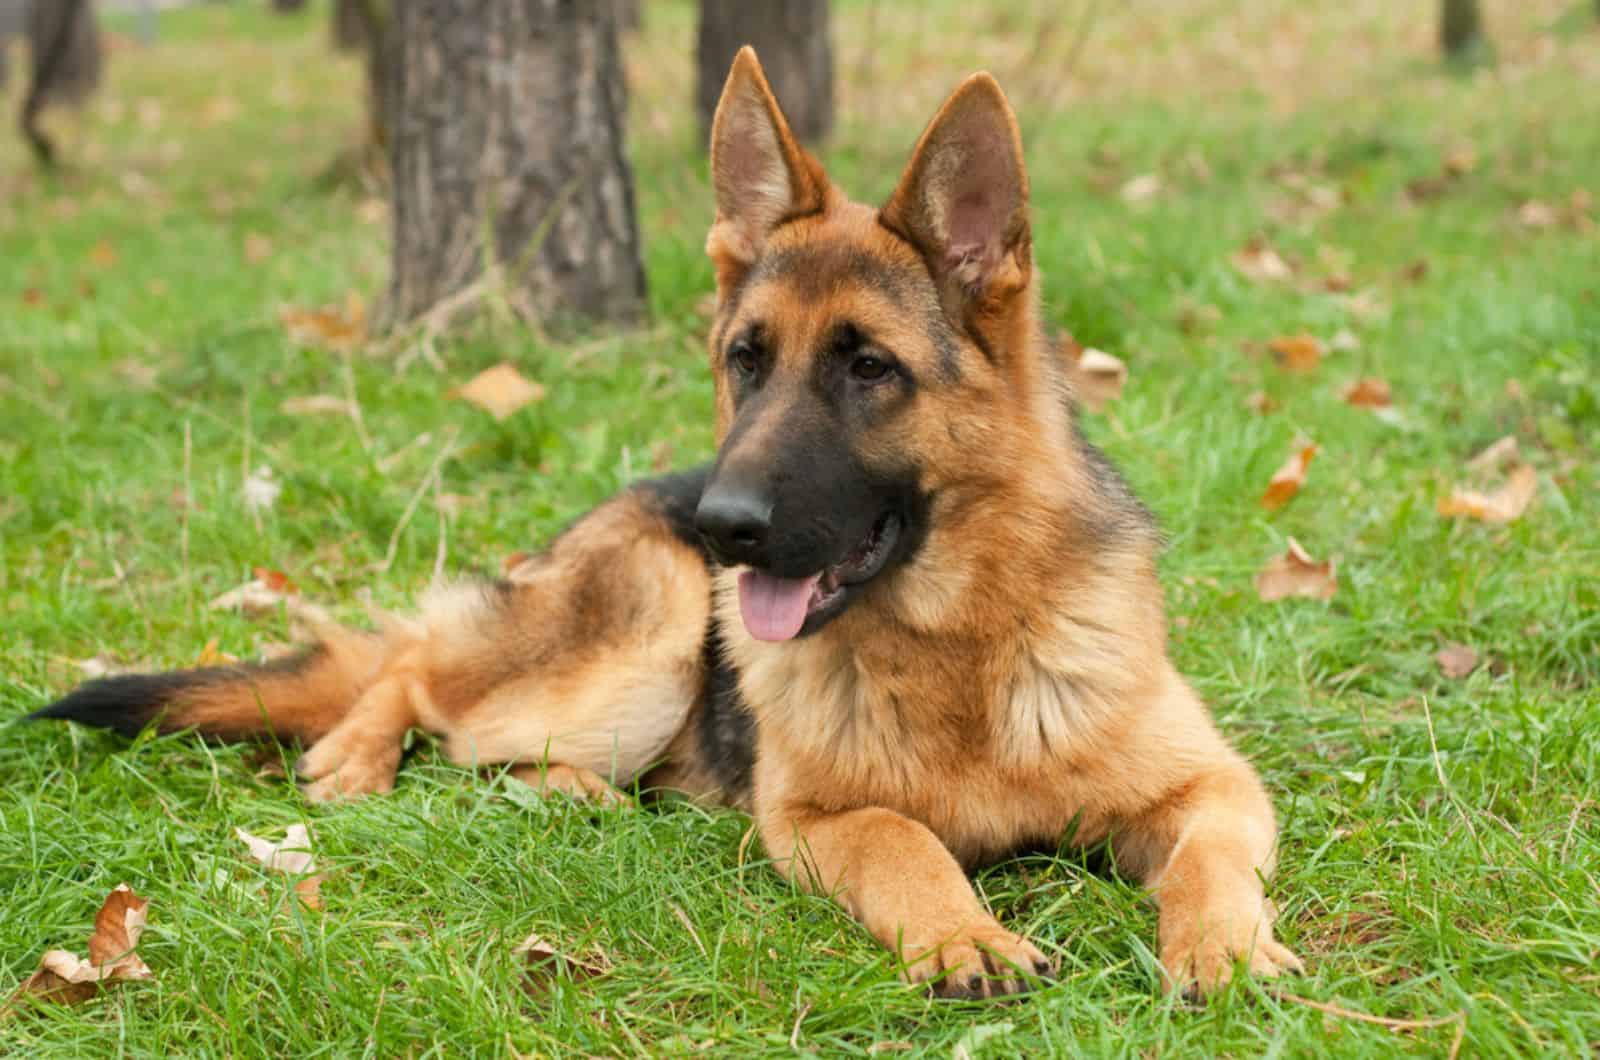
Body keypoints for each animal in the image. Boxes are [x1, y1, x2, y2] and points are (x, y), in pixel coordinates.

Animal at [28, 49, 1299, 999]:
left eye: (869, 369)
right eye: (747, 359)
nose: (723, 522)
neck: (961, 648)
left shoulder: (1216, 785)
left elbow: (1209, 859)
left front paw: (1224, 946)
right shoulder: (813, 818)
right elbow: (905, 842)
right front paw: (965, 934)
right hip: (639, 651)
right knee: (424, 669)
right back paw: (361, 751)